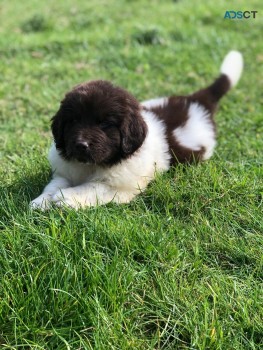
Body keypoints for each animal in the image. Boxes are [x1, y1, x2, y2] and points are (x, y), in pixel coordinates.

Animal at [30, 50, 243, 209]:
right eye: (73, 121)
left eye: (105, 124)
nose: (81, 145)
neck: (91, 165)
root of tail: (196, 101)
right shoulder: (64, 171)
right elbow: (54, 184)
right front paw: (42, 201)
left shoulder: (120, 186)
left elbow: (92, 187)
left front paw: (66, 197)